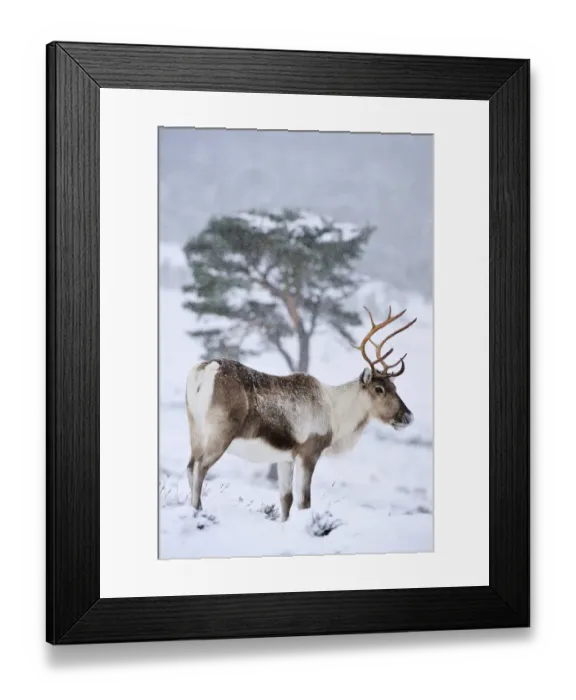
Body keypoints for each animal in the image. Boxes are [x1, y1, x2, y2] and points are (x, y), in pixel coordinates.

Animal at [184, 305, 417, 522]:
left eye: (394, 387)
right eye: (379, 389)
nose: (408, 416)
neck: (337, 413)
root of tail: (204, 371)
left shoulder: (285, 457)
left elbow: (285, 500)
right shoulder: (309, 452)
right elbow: (304, 502)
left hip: (195, 430)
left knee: (190, 466)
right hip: (220, 433)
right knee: (201, 467)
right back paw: (198, 511)